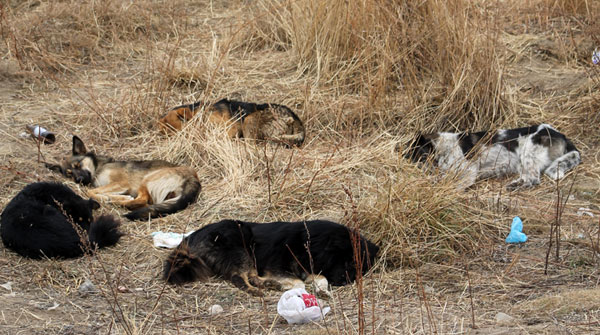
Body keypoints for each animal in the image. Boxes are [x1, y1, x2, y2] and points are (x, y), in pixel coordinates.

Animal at [163, 220, 380, 296]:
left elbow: (321, 278)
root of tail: (189, 239)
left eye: (360, 265)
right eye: (347, 261)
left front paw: (323, 291)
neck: (309, 243)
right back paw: (258, 290)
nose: (345, 281)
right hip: (241, 242)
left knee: (249, 276)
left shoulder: (307, 269)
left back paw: (268, 285)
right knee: (238, 278)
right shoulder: (277, 267)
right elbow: (299, 283)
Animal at [406, 124, 580, 190]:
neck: (444, 147)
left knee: (533, 179)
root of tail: (561, 134)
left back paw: (514, 186)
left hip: (527, 150)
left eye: (416, 153)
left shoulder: (468, 171)